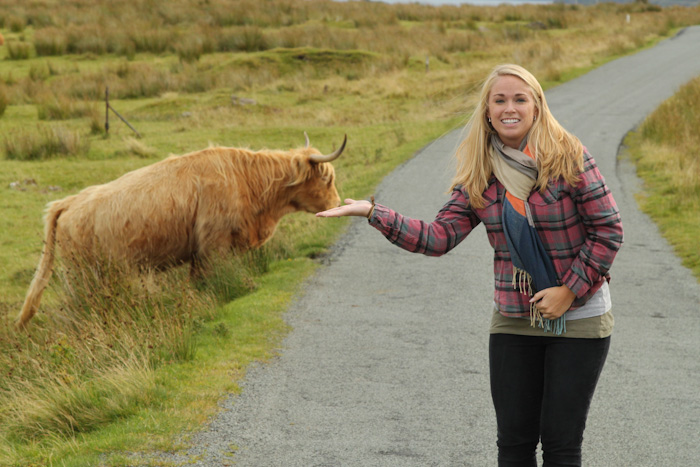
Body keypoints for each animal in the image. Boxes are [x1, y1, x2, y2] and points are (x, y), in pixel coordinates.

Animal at [17, 133, 346, 327]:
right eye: (327, 179)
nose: (337, 202)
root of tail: (69, 201)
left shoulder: (200, 251)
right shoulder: (214, 245)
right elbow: (216, 280)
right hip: (81, 273)